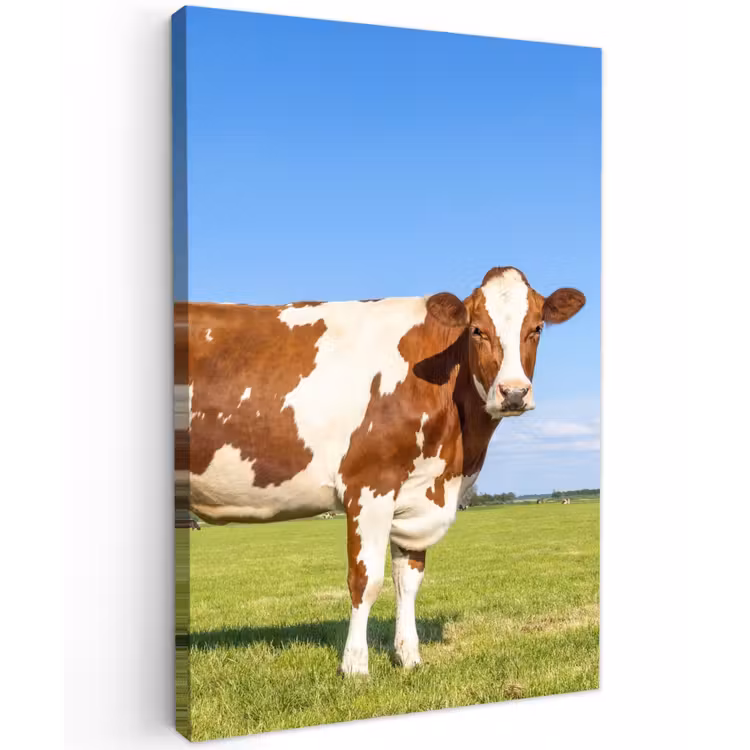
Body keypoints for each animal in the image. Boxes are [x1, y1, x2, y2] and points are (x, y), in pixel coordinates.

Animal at [174, 266, 585, 676]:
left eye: (536, 328)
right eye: (477, 330)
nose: (513, 393)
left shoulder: (418, 492)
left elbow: (408, 580)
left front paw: (408, 656)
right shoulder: (369, 487)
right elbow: (366, 580)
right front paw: (355, 666)